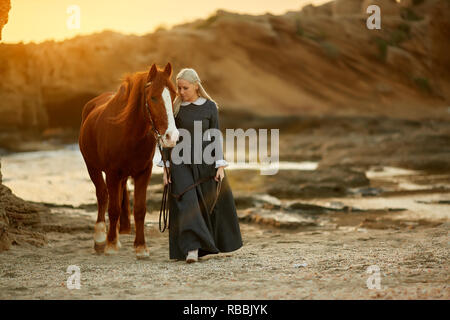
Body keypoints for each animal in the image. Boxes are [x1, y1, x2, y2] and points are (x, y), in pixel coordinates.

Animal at [79, 63, 179, 260]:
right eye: (153, 97)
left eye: (173, 95)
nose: (172, 136)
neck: (127, 132)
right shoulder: (112, 173)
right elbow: (113, 208)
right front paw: (110, 245)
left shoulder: (143, 172)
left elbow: (139, 209)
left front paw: (141, 247)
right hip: (92, 167)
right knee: (102, 195)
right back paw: (101, 238)